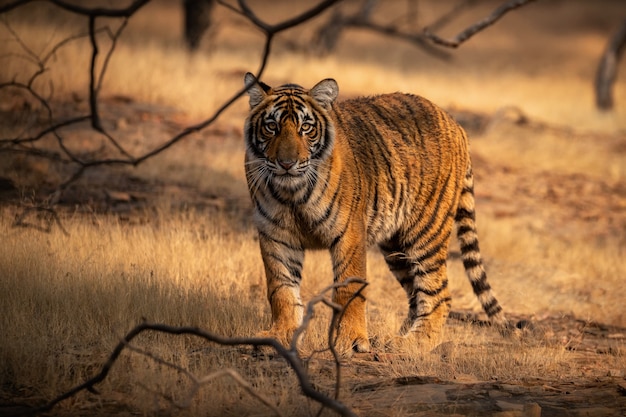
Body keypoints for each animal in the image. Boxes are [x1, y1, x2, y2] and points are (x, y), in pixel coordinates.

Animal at [241, 73, 504, 352]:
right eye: (272, 127)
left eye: (306, 128)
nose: (287, 164)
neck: (292, 192)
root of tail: (456, 124)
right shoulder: (275, 234)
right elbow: (280, 289)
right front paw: (280, 334)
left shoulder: (349, 233)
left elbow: (349, 288)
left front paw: (351, 340)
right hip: (396, 247)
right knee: (415, 295)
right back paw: (395, 338)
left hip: (426, 233)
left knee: (439, 294)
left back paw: (414, 343)